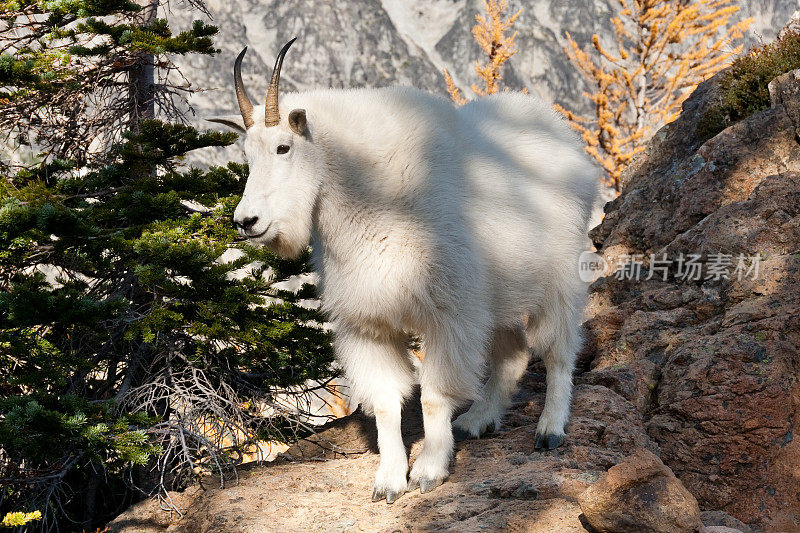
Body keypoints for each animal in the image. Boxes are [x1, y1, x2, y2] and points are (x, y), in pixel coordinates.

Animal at [209, 40, 596, 502]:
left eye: (285, 147)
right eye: (247, 156)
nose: (246, 221)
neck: (371, 195)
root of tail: (564, 134)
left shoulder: (448, 313)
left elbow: (433, 396)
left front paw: (429, 470)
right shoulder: (369, 323)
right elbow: (385, 403)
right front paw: (389, 480)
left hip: (558, 279)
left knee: (558, 351)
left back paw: (550, 429)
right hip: (496, 295)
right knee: (514, 351)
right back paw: (478, 420)